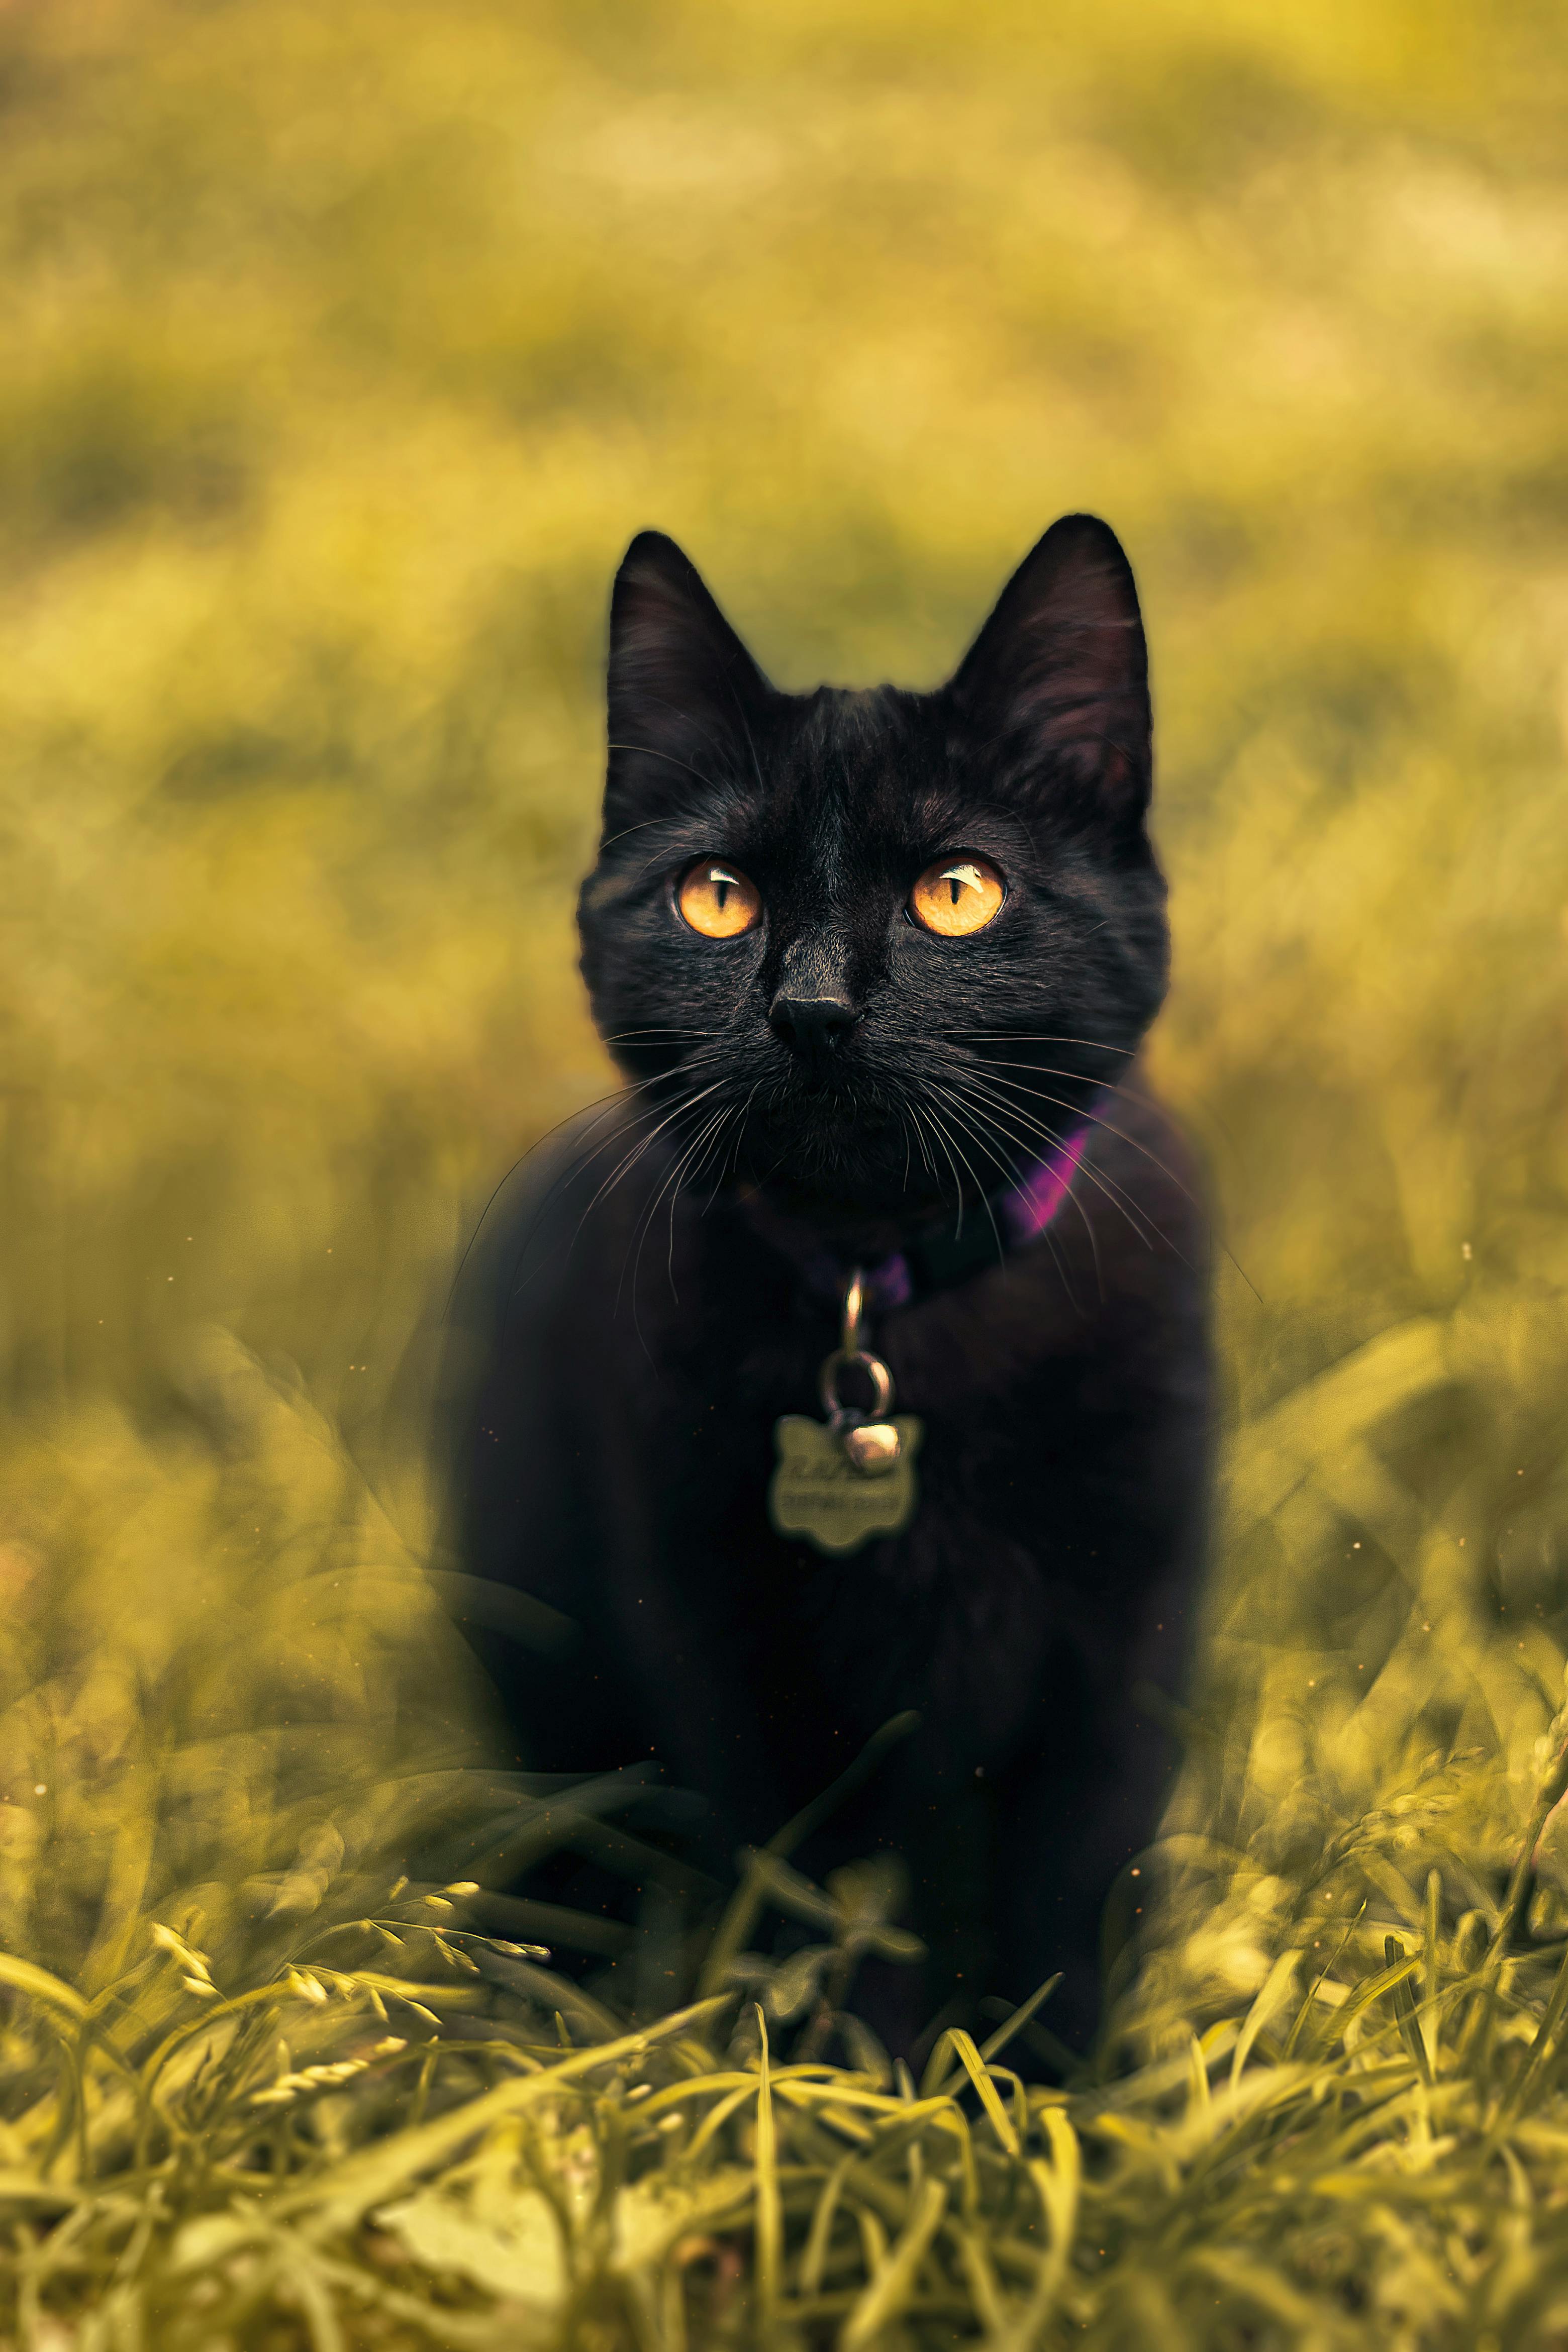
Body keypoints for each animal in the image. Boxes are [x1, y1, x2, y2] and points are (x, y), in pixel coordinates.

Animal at [442, 520, 1213, 2060]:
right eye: (715, 897)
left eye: (957, 894)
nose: (808, 1007)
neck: (887, 1295)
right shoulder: (733, 1652)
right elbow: (815, 1904)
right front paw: (857, 2088)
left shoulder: (1124, 1641)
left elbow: (1075, 1886)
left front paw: (1071, 2093)